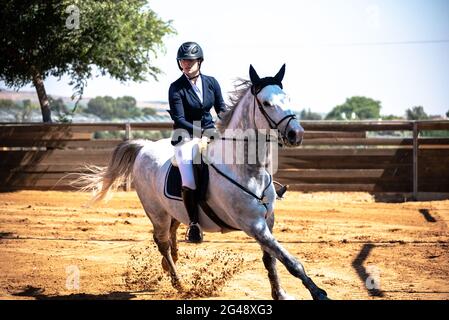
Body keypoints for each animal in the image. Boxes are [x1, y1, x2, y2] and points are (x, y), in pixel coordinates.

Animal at [79, 65, 326, 300]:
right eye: (266, 102)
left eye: (287, 98)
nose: (296, 134)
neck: (246, 168)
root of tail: (144, 147)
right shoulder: (253, 225)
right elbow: (290, 261)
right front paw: (318, 293)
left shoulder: (268, 221)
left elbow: (272, 259)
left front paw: (280, 294)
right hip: (157, 212)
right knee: (162, 241)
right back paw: (178, 282)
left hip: (174, 210)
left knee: (172, 232)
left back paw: (171, 263)